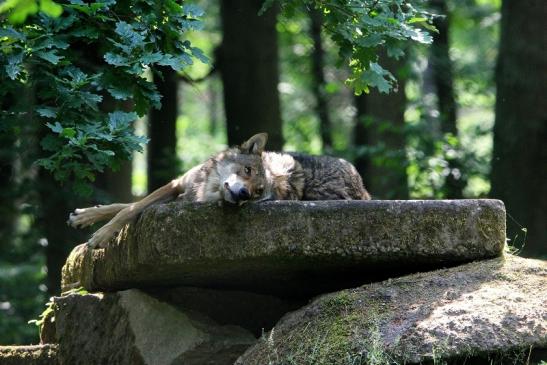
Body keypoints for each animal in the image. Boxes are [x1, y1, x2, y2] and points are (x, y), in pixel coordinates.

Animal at [67, 132, 368, 249]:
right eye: (247, 171)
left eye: (258, 192)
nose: (244, 194)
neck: (206, 188)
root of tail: (363, 190)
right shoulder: (178, 185)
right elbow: (127, 207)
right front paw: (85, 217)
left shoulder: (182, 202)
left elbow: (129, 210)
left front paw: (99, 236)